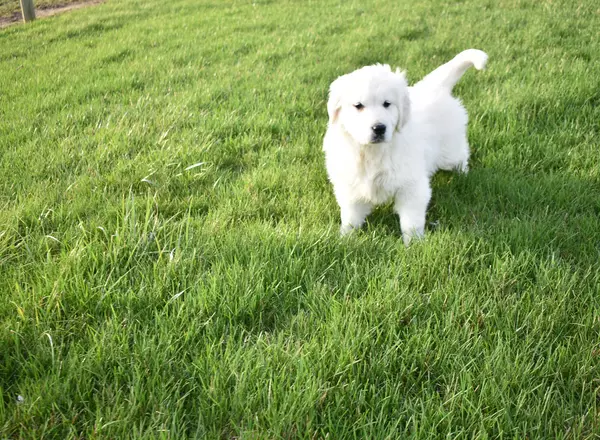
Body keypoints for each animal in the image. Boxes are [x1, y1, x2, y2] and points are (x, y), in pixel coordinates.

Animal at [324, 49, 488, 246]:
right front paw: (346, 239)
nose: (379, 128)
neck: (373, 152)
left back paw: (463, 175)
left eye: (387, 104)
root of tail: (435, 87)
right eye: (358, 106)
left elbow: (411, 220)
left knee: (461, 157)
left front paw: (414, 244)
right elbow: (351, 217)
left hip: (450, 151)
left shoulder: (411, 186)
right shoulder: (351, 184)